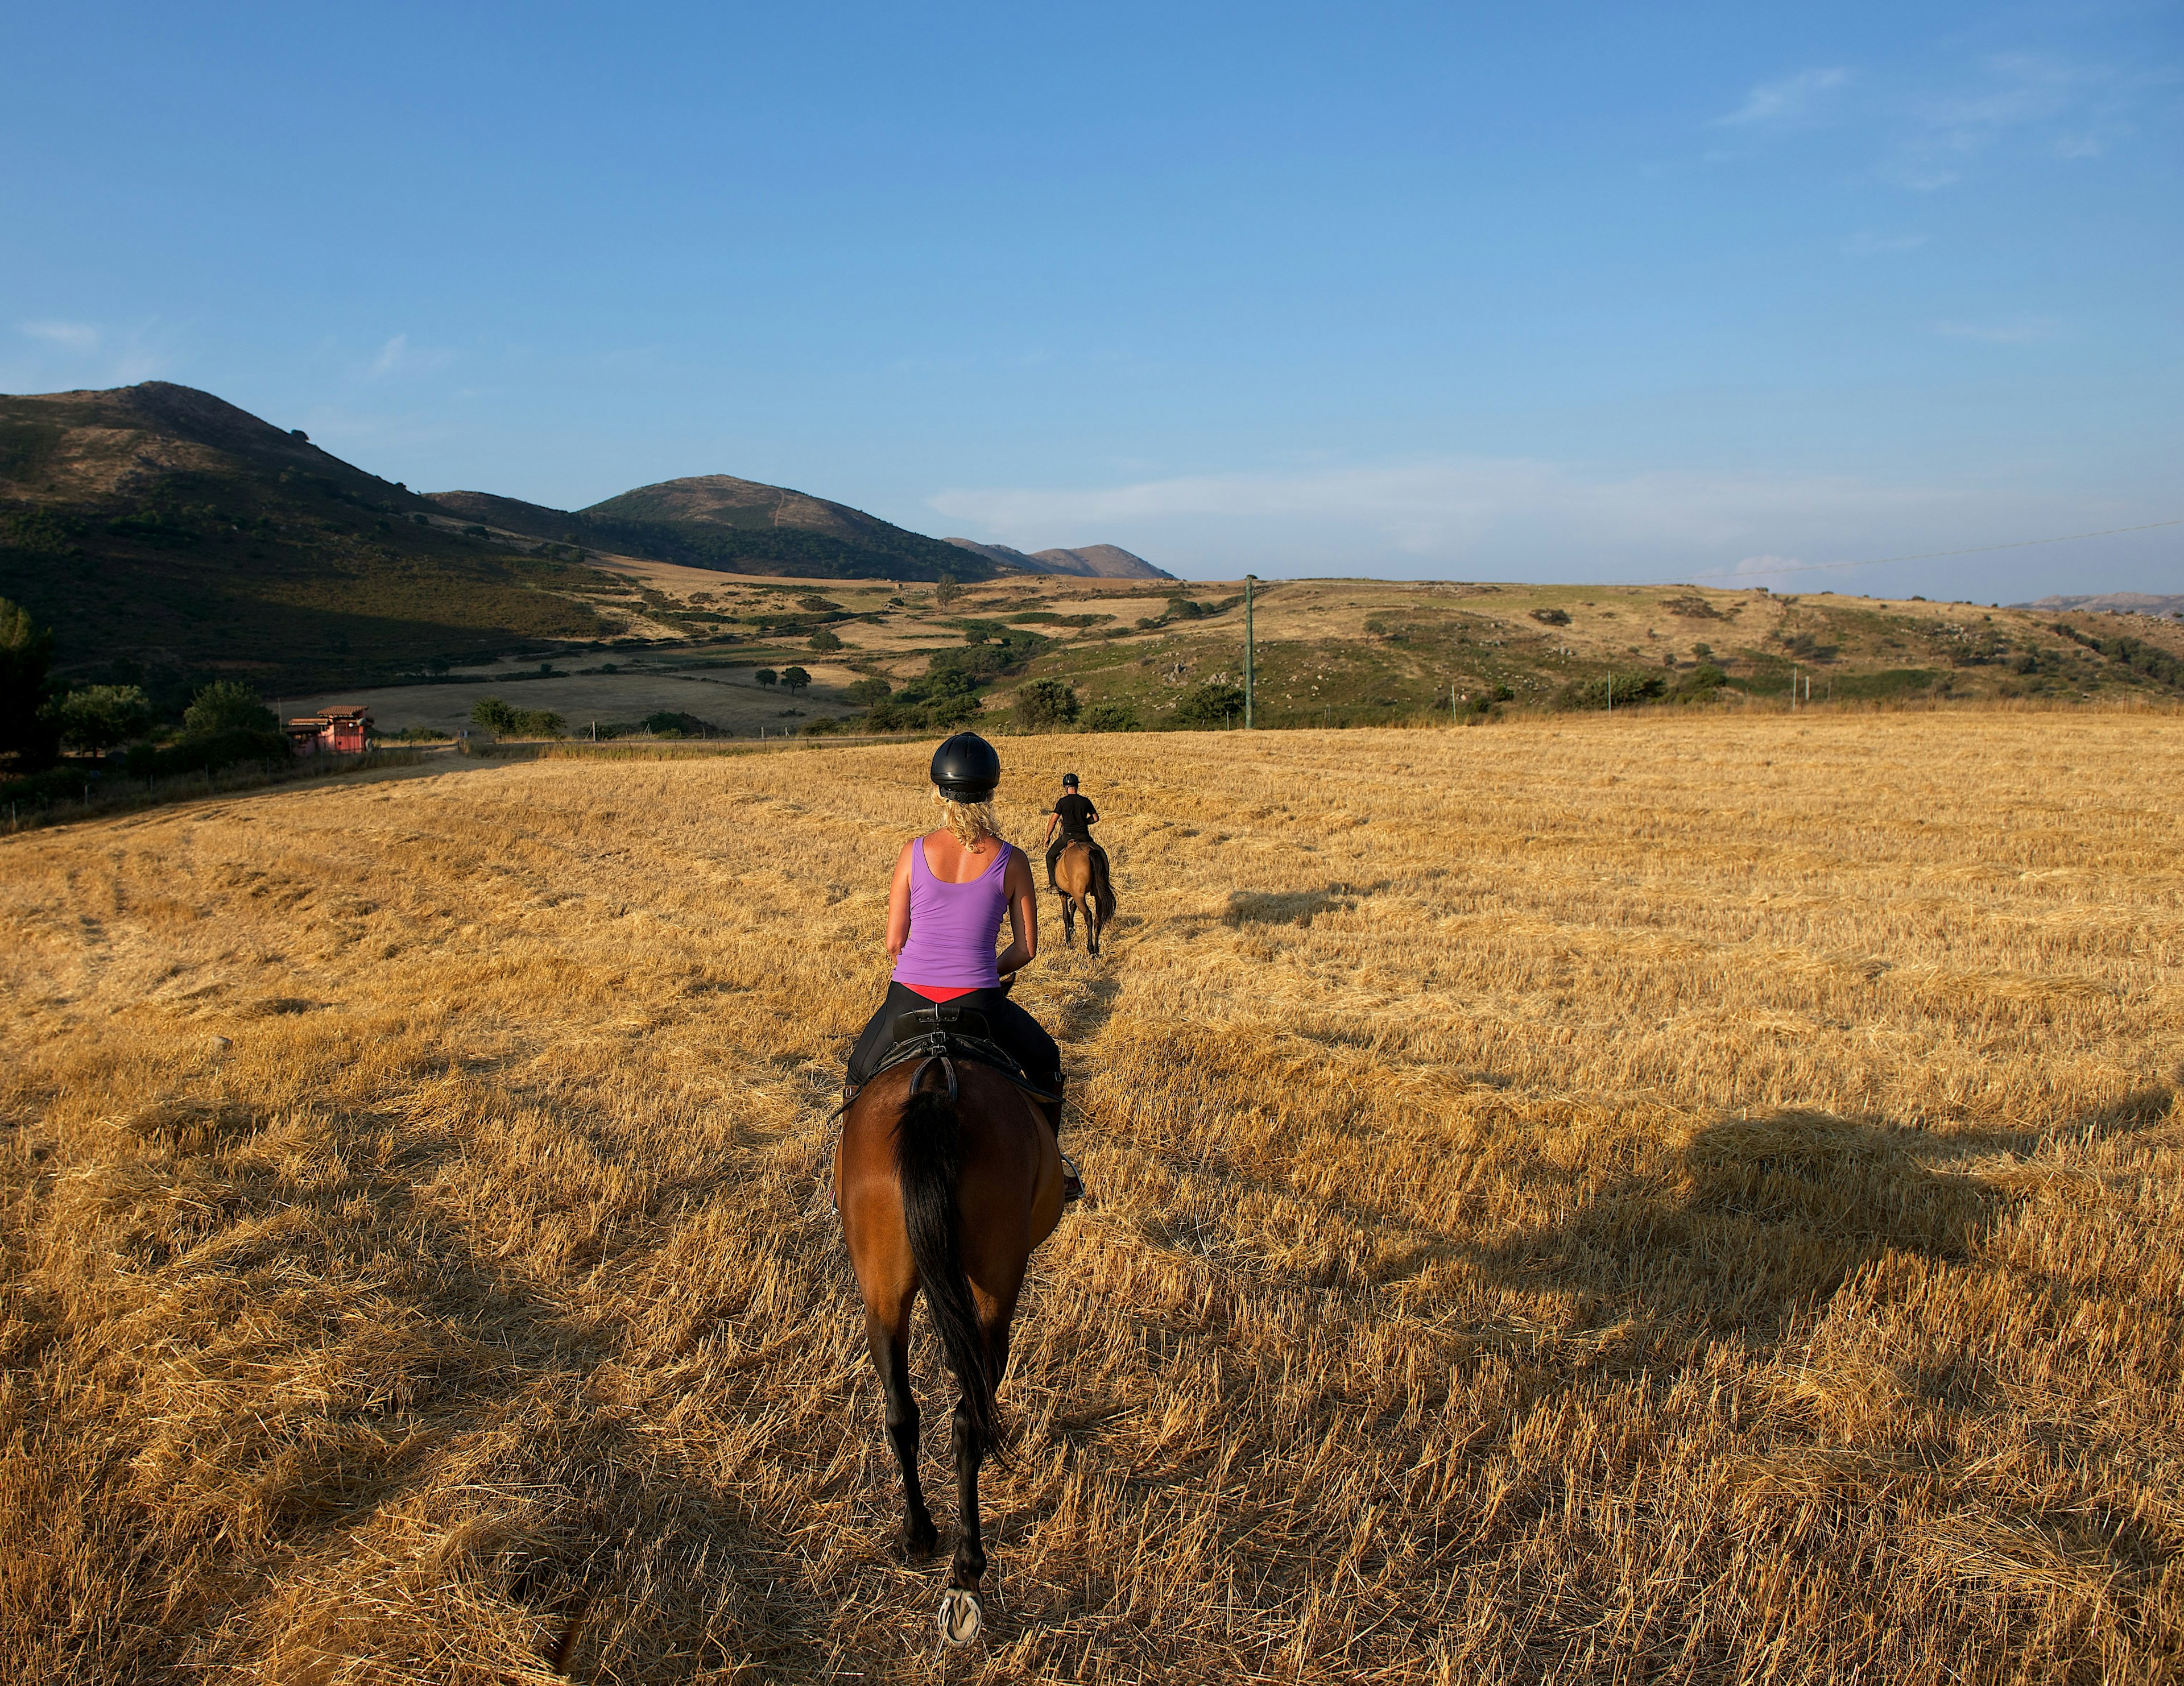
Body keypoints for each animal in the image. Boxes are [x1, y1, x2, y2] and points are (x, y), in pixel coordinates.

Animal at [834, 1035, 1065, 1642]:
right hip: (995, 1292)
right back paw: (967, 1570)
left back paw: (918, 1533)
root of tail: (937, 1079)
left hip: (882, 1289)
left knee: (901, 1410)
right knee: (970, 1417)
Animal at [1052, 834, 1109, 956]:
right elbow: (1072, 906)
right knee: (1098, 918)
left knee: (1088, 915)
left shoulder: (1063, 894)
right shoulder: (1074, 893)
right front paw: (1071, 929)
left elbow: (1066, 915)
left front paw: (1068, 940)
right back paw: (1096, 950)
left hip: (1079, 896)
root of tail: (1090, 851)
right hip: (1097, 895)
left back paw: (1090, 948)